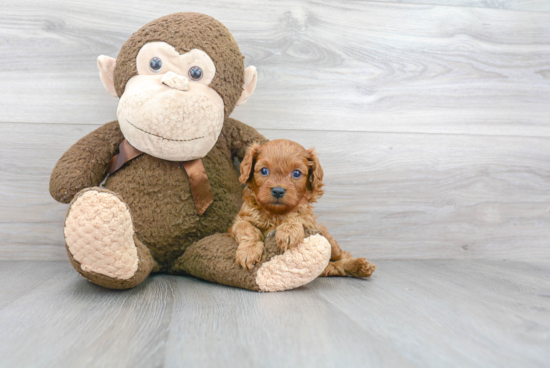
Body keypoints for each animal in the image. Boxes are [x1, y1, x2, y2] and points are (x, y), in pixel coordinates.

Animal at [230, 139, 380, 278]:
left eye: (296, 173)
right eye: (264, 170)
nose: (278, 191)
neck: (275, 213)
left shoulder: (309, 218)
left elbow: (296, 215)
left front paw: (288, 231)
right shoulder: (239, 221)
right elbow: (248, 229)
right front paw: (248, 251)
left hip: (329, 240)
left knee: (342, 257)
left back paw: (360, 265)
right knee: (336, 267)